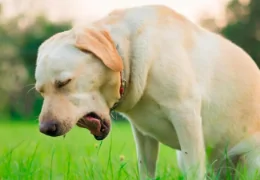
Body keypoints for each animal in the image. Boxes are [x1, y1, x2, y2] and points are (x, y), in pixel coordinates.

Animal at [35, 4, 260, 180]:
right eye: (41, 92)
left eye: (64, 82)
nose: (45, 129)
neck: (127, 54)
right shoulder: (142, 134)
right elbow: (147, 169)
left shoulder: (186, 117)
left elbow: (194, 170)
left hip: (249, 158)